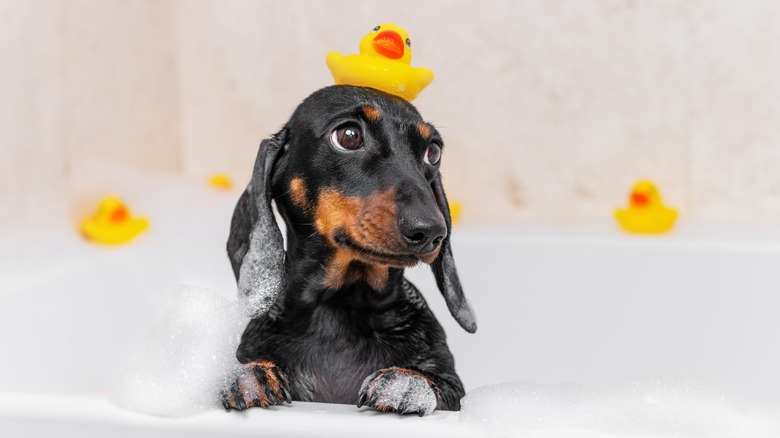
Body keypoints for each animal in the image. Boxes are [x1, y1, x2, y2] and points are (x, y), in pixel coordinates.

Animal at [219, 84, 476, 414]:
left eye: (433, 151)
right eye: (349, 136)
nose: (431, 231)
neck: (342, 307)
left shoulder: (455, 391)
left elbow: (435, 382)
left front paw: (408, 382)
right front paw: (249, 376)